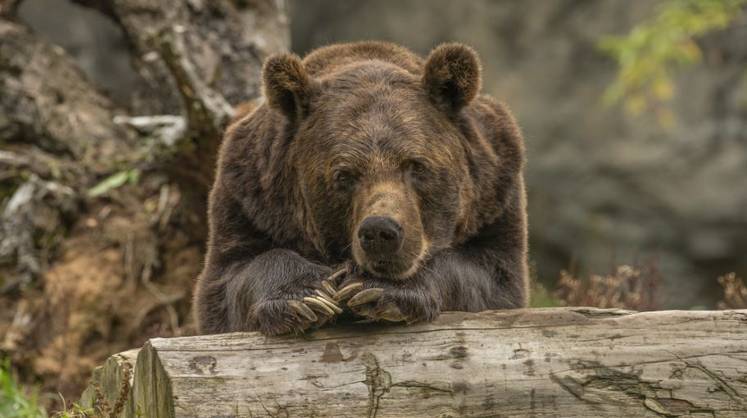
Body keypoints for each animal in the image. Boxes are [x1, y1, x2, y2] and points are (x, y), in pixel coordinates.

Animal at [196, 41, 528, 336]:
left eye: (416, 165)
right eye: (344, 174)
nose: (380, 231)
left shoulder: (495, 195)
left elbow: (490, 276)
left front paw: (377, 289)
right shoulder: (249, 197)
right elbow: (230, 278)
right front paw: (306, 297)